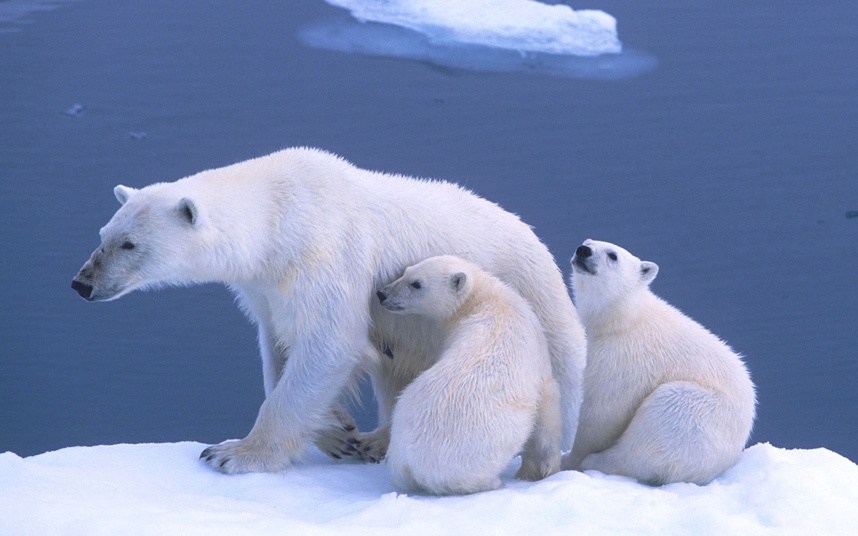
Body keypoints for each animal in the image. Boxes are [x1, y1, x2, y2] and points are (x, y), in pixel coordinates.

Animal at [72, 147, 588, 474]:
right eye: (103, 234)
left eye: (129, 244)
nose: (82, 283)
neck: (280, 216)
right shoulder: (267, 286)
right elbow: (278, 351)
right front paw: (339, 432)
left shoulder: (325, 258)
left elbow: (329, 346)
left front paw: (232, 453)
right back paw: (375, 438)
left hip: (538, 309)